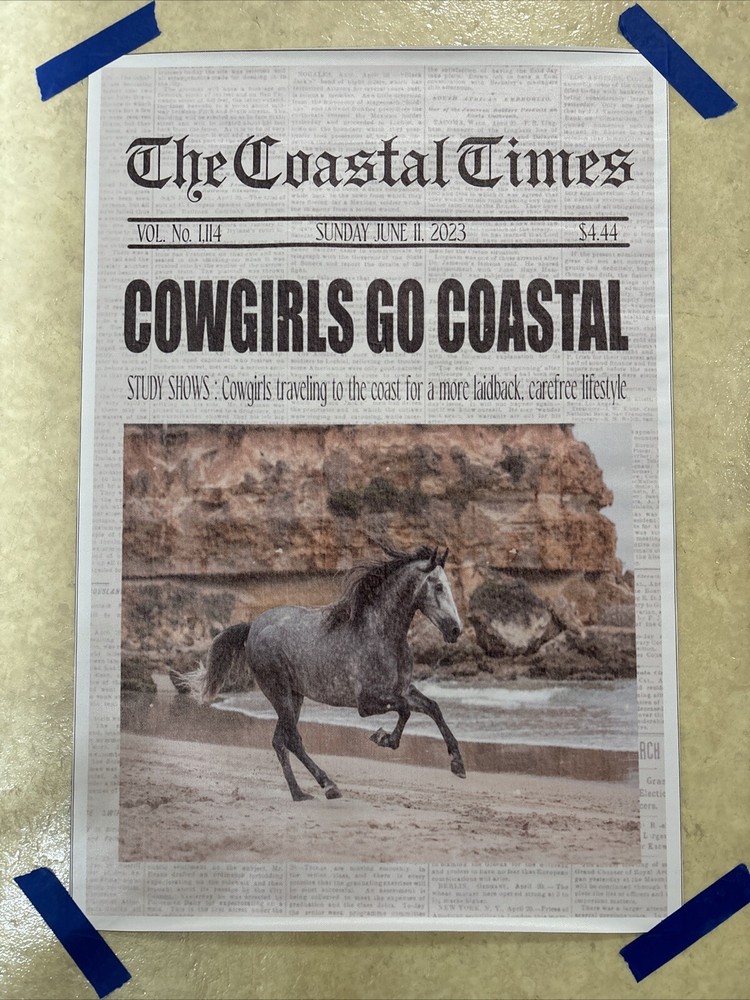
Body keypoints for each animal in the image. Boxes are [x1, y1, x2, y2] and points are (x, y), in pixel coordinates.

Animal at [170, 543, 466, 801]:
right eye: (438, 586)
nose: (455, 630)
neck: (380, 634)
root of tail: (253, 625)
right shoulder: (367, 702)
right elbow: (405, 710)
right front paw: (384, 738)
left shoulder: (402, 689)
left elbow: (432, 707)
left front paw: (458, 764)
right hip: (279, 693)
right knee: (292, 739)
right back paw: (328, 785)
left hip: (295, 696)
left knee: (279, 741)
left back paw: (299, 793)